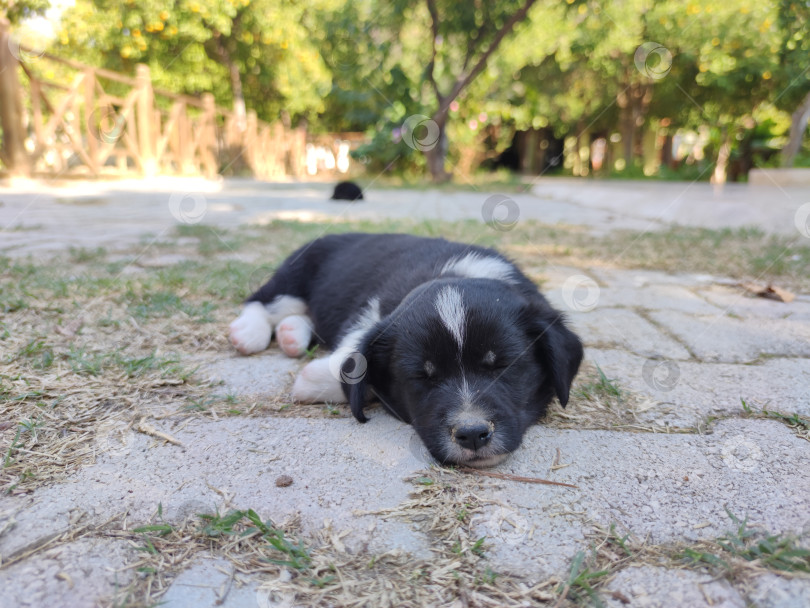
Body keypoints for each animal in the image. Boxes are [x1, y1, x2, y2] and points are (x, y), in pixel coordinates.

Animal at [227, 233, 580, 466]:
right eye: (423, 377)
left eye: (503, 366)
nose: (472, 434)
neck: (454, 273)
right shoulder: (371, 311)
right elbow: (355, 359)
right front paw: (313, 379)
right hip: (293, 278)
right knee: (262, 301)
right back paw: (249, 332)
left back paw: (290, 335)